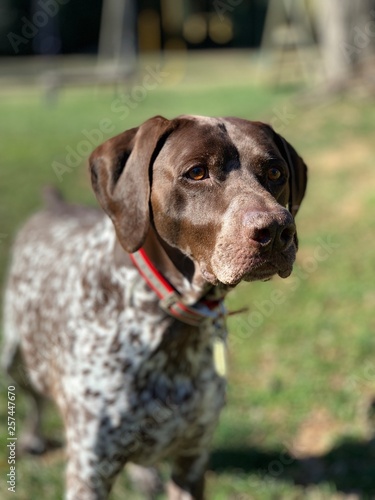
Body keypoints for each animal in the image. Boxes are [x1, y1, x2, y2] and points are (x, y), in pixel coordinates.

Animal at [2, 115, 306, 498]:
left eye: (276, 173)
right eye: (196, 172)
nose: (278, 231)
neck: (169, 331)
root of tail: (54, 206)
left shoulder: (191, 460)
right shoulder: (90, 471)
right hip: (13, 358)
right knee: (33, 399)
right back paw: (32, 437)